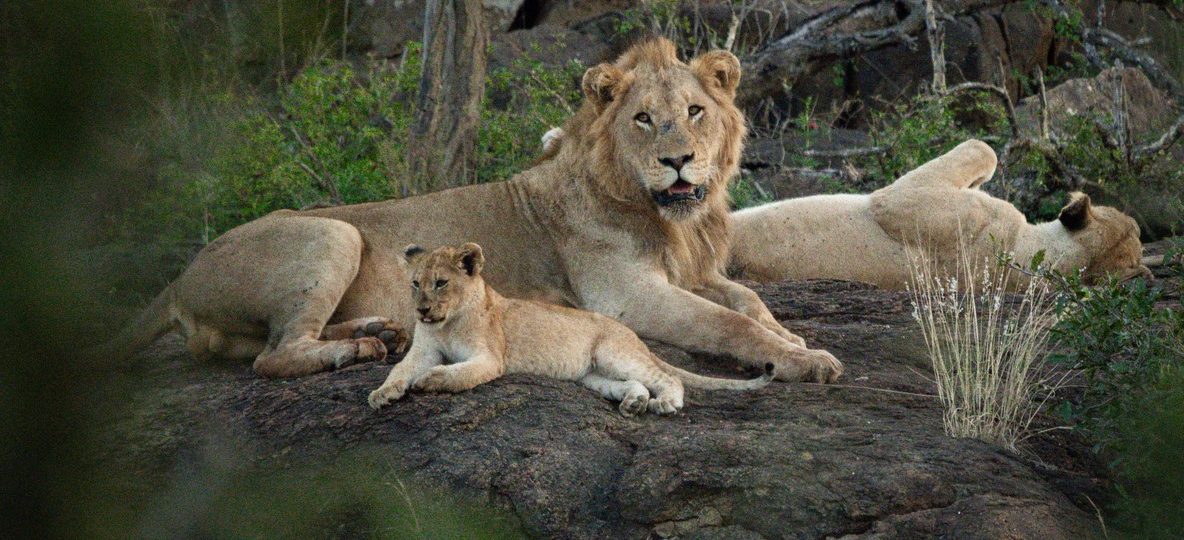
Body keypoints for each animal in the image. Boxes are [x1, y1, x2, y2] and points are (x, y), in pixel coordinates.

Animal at [96, 38, 842, 383]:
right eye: (642, 119)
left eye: (694, 112)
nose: (680, 160)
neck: (667, 217)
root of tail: (180, 277)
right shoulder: (626, 296)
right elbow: (726, 323)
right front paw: (802, 361)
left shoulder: (696, 272)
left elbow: (748, 301)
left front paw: (794, 338)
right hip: (331, 232)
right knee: (274, 356)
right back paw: (361, 348)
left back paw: (378, 331)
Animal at [367, 243, 773, 416]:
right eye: (415, 283)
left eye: (440, 283)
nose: (420, 310)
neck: (446, 324)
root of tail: (631, 334)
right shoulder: (424, 349)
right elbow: (399, 368)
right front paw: (382, 394)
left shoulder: (490, 358)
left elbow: (458, 373)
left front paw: (431, 380)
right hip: (592, 375)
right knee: (633, 383)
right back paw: (634, 403)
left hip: (612, 352)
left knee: (668, 378)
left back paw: (665, 404)